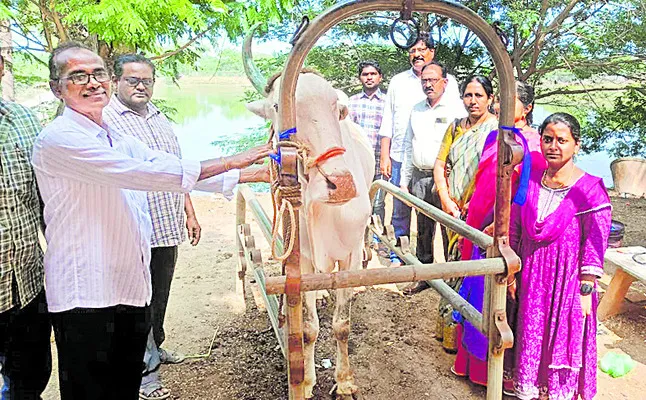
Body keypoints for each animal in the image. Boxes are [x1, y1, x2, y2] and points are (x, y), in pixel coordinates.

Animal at [243, 37, 374, 400]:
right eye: (279, 106)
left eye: (338, 109)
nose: (341, 184)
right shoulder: (302, 262)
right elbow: (310, 329)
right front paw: (307, 380)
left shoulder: (349, 256)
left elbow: (342, 325)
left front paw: (345, 382)